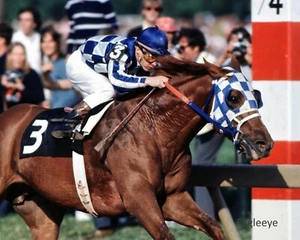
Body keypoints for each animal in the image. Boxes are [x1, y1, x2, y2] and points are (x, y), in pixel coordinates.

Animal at [0, 56, 274, 240]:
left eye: (257, 95)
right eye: (233, 97)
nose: (264, 143)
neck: (154, 130)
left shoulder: (172, 198)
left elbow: (213, 226)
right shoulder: (138, 199)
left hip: (40, 209)